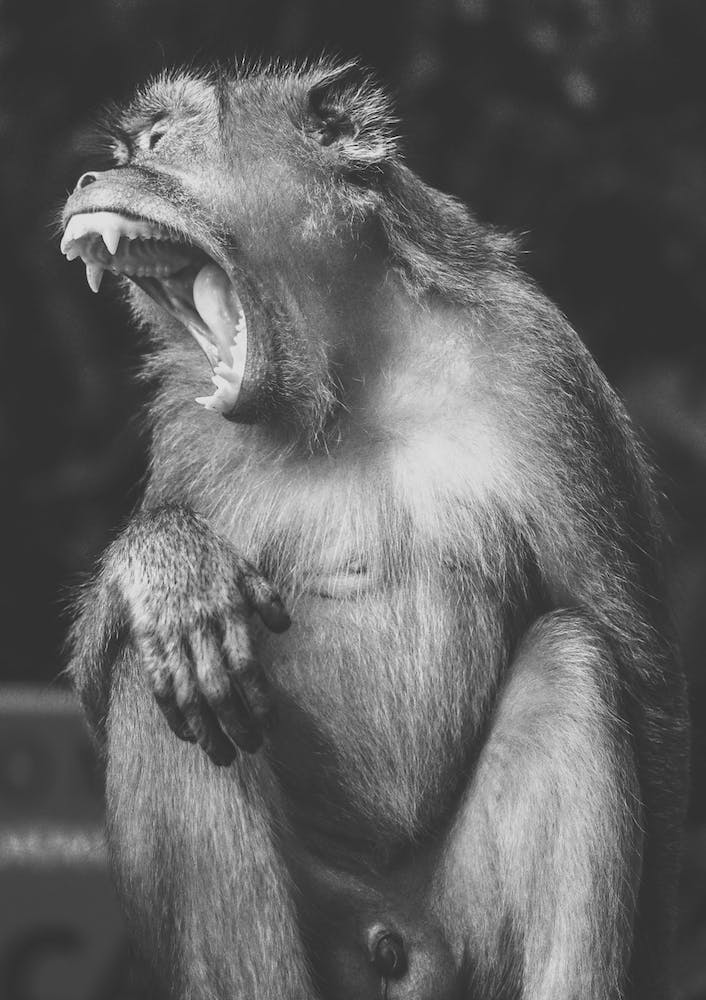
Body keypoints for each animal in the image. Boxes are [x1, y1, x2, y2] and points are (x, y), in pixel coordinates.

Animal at [60, 60, 689, 1000]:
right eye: (132, 147)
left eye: (161, 141)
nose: (90, 179)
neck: (352, 376)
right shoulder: (184, 427)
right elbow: (103, 686)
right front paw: (170, 569)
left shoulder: (543, 371)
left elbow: (639, 676)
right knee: (159, 674)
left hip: (460, 934)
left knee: (574, 658)